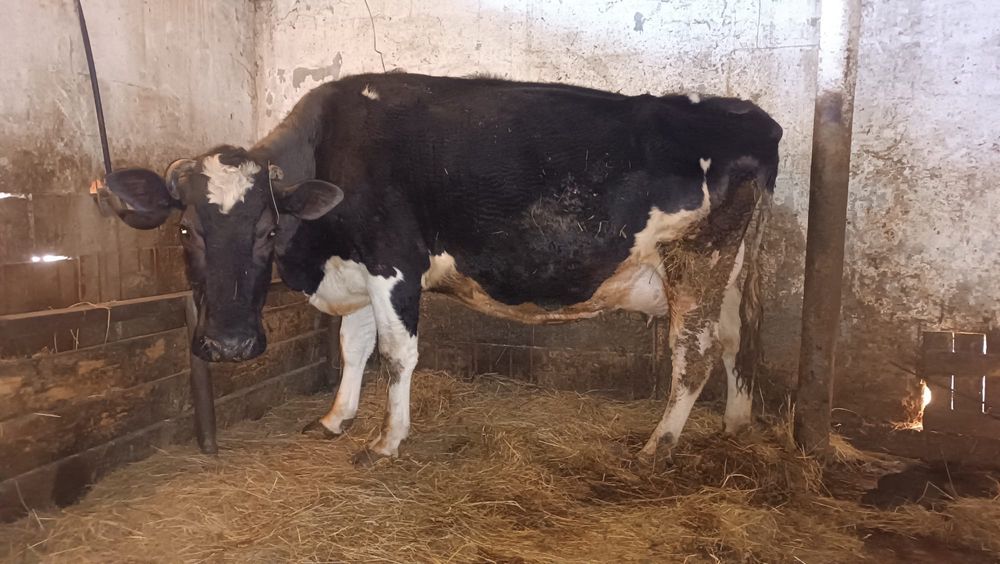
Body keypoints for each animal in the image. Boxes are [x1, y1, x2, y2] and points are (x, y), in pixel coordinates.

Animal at [97, 72, 781, 464]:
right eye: (186, 230)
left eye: (267, 231)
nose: (230, 346)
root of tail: (752, 117)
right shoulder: (358, 268)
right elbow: (352, 347)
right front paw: (336, 419)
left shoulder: (394, 262)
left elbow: (396, 354)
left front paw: (386, 441)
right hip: (730, 268)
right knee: (733, 340)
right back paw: (735, 426)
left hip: (696, 258)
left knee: (692, 354)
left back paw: (657, 446)